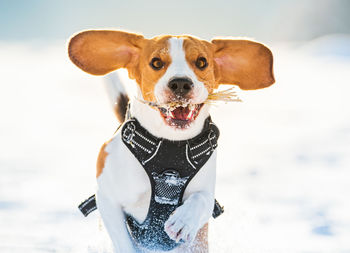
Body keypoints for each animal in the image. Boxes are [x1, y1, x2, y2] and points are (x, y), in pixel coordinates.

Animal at [68, 30, 274, 253]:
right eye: (156, 63)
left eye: (201, 62)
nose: (181, 83)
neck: (170, 144)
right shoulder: (107, 198)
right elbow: (123, 241)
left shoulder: (207, 192)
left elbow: (202, 199)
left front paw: (184, 221)